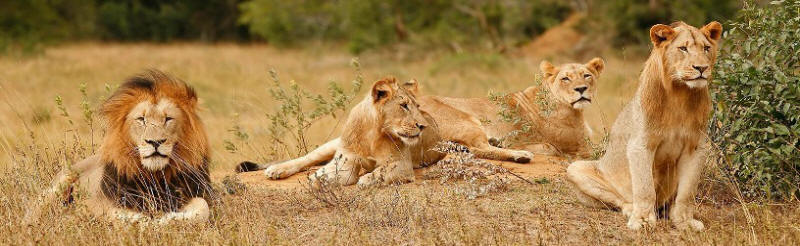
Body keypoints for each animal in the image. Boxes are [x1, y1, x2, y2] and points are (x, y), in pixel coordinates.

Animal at [23, 70, 214, 225]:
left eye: (168, 119)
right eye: (141, 119)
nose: (155, 142)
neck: (155, 176)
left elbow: (203, 206)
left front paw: (167, 219)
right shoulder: (103, 201)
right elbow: (116, 214)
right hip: (58, 186)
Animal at [238, 77, 536, 186]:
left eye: (417, 107)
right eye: (403, 106)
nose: (422, 125)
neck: (372, 132)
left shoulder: (401, 164)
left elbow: (373, 175)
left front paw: (366, 179)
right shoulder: (345, 161)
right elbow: (334, 174)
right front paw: (320, 179)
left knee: (483, 148)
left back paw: (520, 155)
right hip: (330, 146)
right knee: (306, 159)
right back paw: (278, 170)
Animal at [422, 58, 604, 156]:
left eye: (586, 75)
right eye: (565, 78)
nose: (581, 89)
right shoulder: (580, 147)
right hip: (466, 120)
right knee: (478, 147)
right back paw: (521, 155)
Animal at [564, 21, 724, 231]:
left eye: (706, 48)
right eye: (683, 48)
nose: (702, 68)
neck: (681, 95)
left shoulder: (696, 147)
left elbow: (687, 192)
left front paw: (684, 222)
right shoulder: (640, 145)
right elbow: (644, 187)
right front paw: (642, 221)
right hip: (575, 169)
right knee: (621, 199)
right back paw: (631, 210)